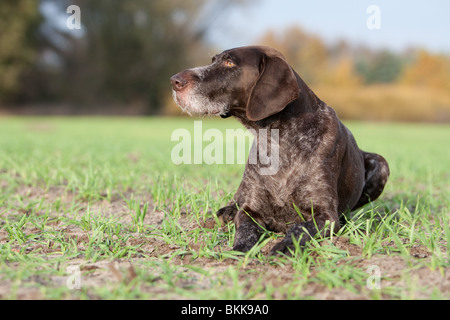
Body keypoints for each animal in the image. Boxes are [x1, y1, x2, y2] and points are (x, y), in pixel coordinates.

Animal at [171, 45, 388, 255]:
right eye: (214, 60)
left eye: (229, 63)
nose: (174, 80)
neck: (277, 141)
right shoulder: (250, 211)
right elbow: (245, 230)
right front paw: (239, 250)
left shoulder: (325, 216)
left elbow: (299, 228)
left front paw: (285, 246)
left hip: (381, 164)